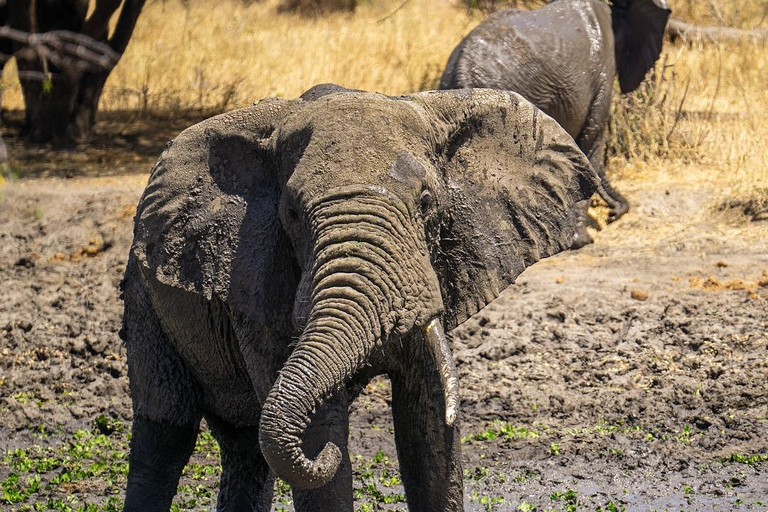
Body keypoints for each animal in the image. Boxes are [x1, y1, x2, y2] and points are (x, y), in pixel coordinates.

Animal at [121, 82, 600, 510]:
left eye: (427, 202)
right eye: (291, 213)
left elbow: (428, 426)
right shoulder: (258, 279)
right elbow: (322, 434)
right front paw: (329, 449)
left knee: (247, 447)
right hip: (143, 298)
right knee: (164, 435)